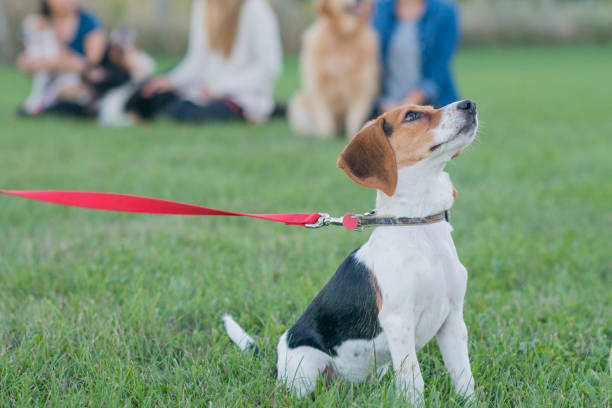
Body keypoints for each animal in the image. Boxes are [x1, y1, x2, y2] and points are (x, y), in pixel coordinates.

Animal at [224, 100, 478, 404]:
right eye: (412, 115)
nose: (469, 104)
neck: (418, 224)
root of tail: (276, 363)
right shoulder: (398, 322)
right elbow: (414, 382)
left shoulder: (453, 320)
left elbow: (464, 378)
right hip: (307, 363)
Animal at [286, 0, 378, 140]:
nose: (360, 2)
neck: (343, 37)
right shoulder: (318, 85)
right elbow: (325, 119)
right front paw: (325, 139)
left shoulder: (362, 88)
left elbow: (353, 119)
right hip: (299, 102)